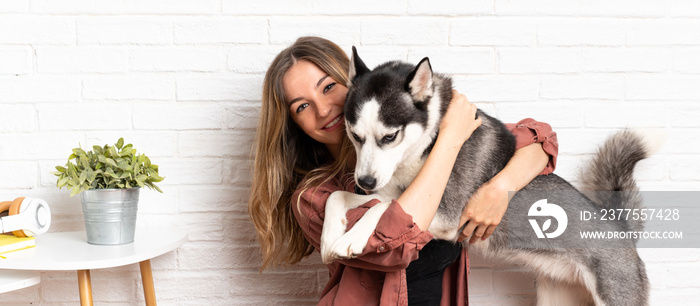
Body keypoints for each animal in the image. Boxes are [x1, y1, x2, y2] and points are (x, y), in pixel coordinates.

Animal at [320, 46, 652, 304]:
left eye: (389, 136)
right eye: (355, 135)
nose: (365, 182)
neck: (430, 141)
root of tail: (621, 227)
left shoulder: (444, 215)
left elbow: (384, 210)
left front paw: (351, 239)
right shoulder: (392, 191)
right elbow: (341, 196)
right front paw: (329, 236)